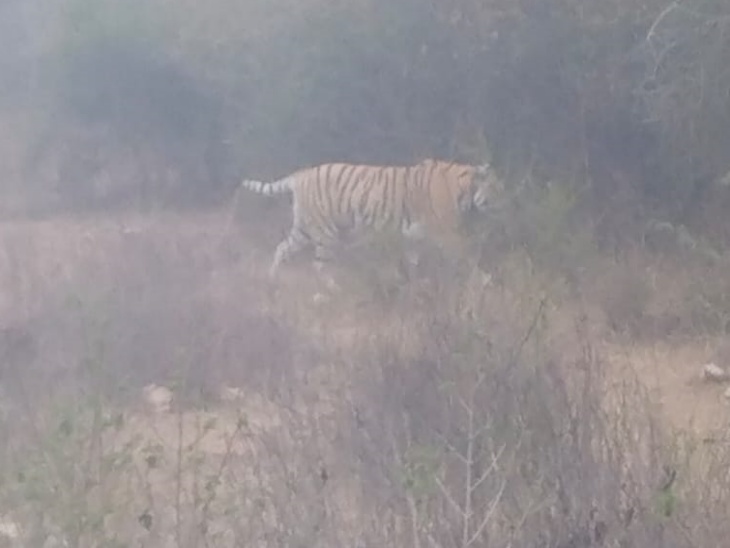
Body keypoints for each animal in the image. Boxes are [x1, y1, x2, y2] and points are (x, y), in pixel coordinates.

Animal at [237, 158, 505, 279]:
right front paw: (483, 280)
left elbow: (415, 264)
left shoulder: (414, 238)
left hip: (304, 229)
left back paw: (272, 278)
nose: (506, 201)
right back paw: (331, 291)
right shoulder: (448, 233)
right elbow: (467, 257)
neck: (464, 189)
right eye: (495, 188)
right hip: (326, 233)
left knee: (281, 248)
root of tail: (299, 174)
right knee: (320, 266)